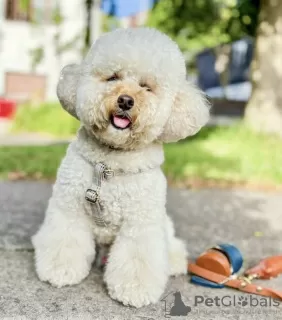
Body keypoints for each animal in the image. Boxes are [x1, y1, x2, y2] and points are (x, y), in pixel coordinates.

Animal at [33, 27, 209, 308]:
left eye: (146, 87)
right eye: (113, 77)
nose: (125, 100)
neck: (110, 165)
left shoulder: (141, 223)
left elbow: (137, 258)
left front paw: (134, 290)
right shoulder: (68, 208)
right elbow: (65, 240)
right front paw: (59, 270)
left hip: (163, 223)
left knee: (171, 243)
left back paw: (174, 261)